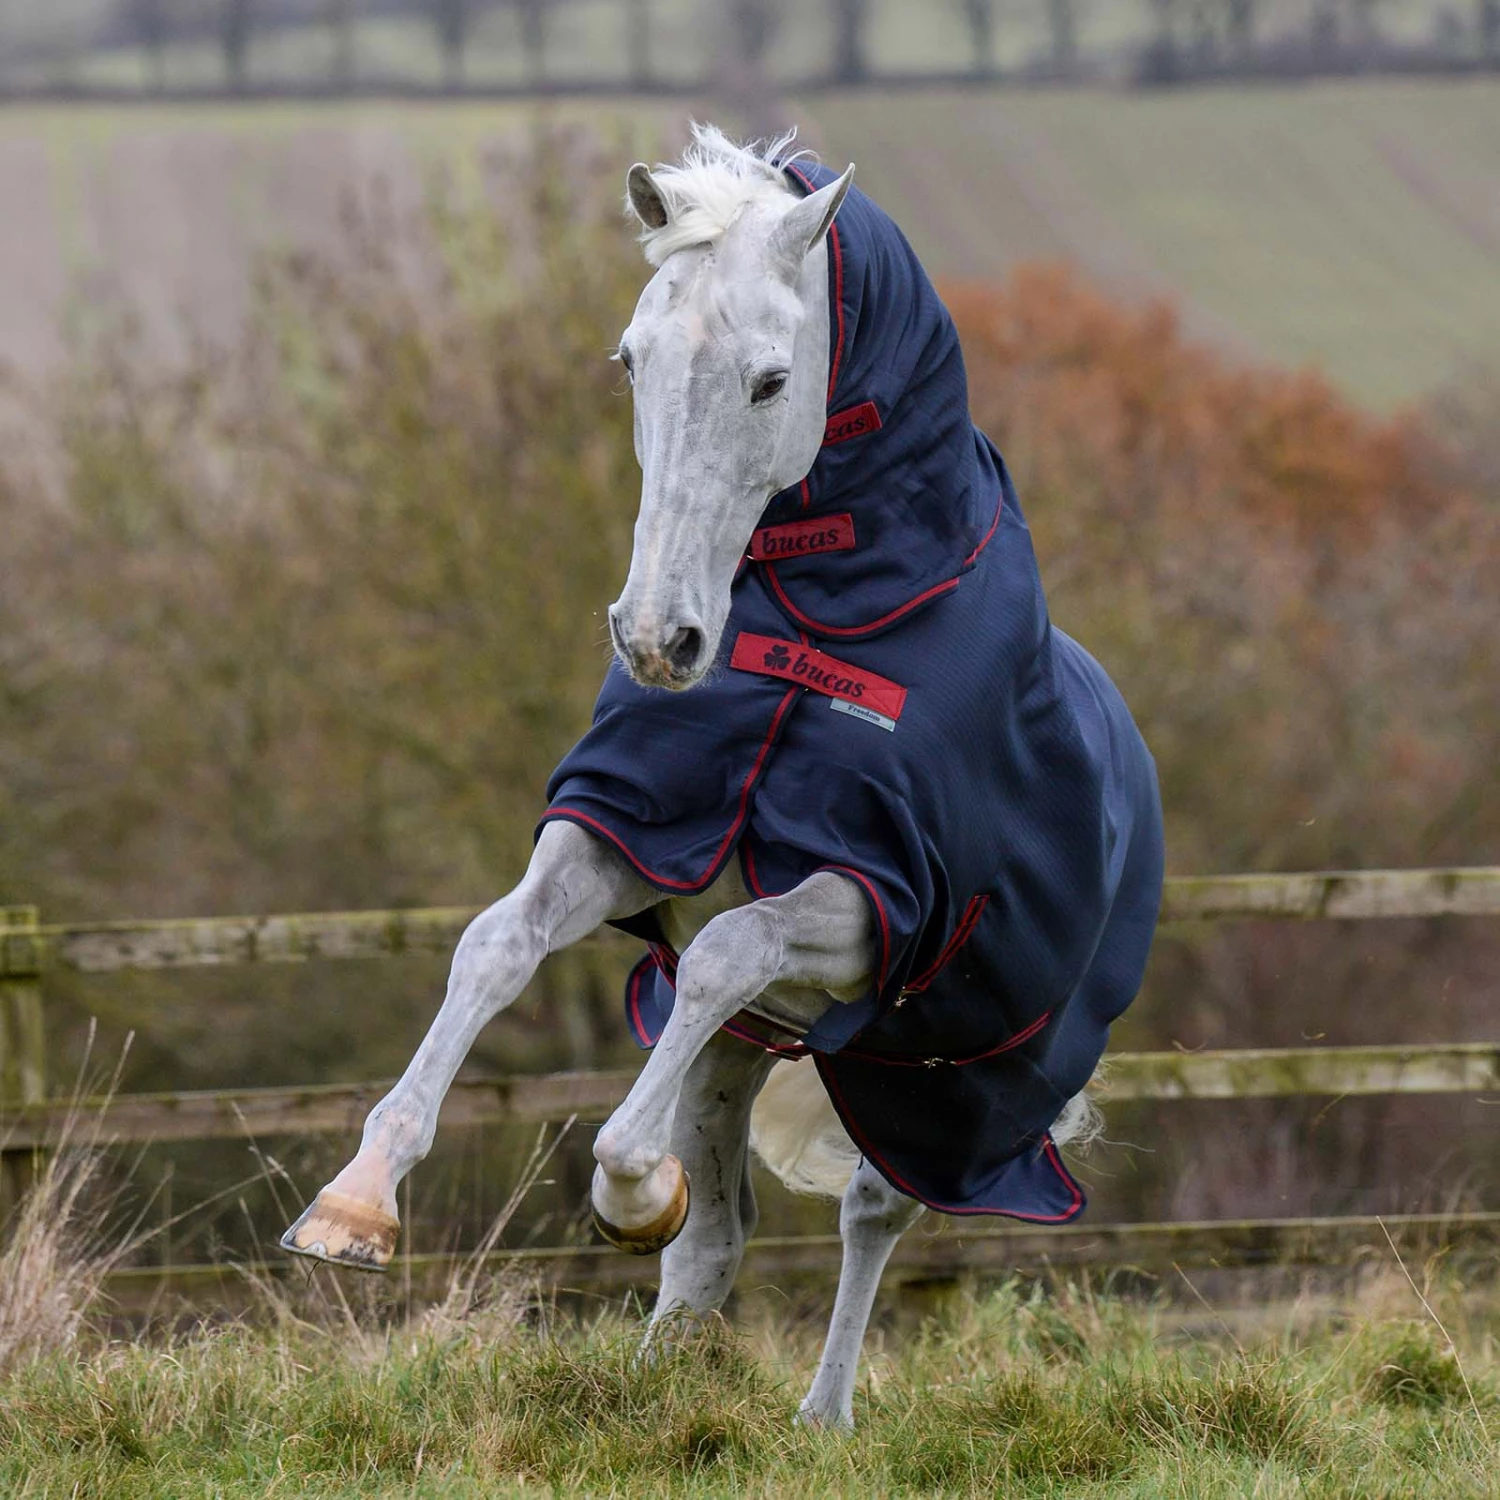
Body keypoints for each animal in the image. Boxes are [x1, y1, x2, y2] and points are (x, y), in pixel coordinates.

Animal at [281, 124, 1165, 1431]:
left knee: (870, 1210)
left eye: (767, 380)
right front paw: (355, 1202)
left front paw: (627, 1184)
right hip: (754, 1049)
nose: (658, 641)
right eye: (631, 360)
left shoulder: (872, 899)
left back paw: (821, 1416)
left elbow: (725, 950)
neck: (826, 612)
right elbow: (498, 942)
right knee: (718, 1236)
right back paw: (653, 1392)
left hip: (936, 1093)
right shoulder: (631, 829)